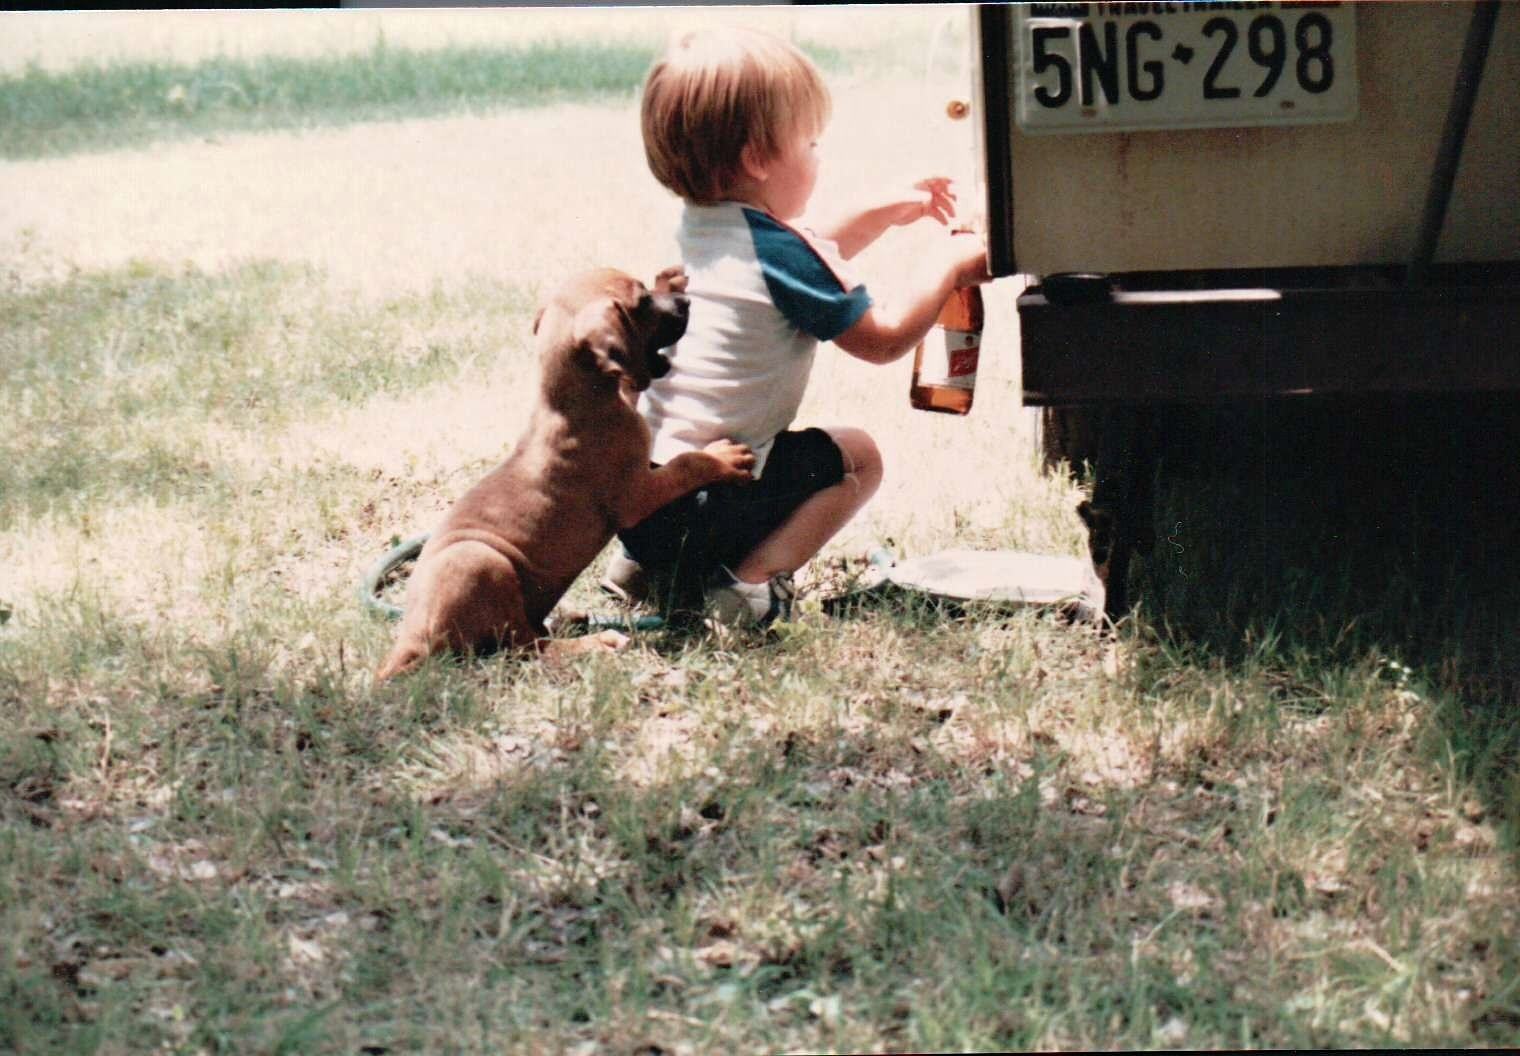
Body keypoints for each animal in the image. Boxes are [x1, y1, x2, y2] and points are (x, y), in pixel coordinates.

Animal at [375, 268, 753, 680]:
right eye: (641, 303)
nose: (686, 302)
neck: (576, 401)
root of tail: (409, 641)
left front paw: (669, 279)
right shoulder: (635, 496)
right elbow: (686, 463)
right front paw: (724, 457)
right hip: (480, 562)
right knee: (526, 647)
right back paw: (595, 642)